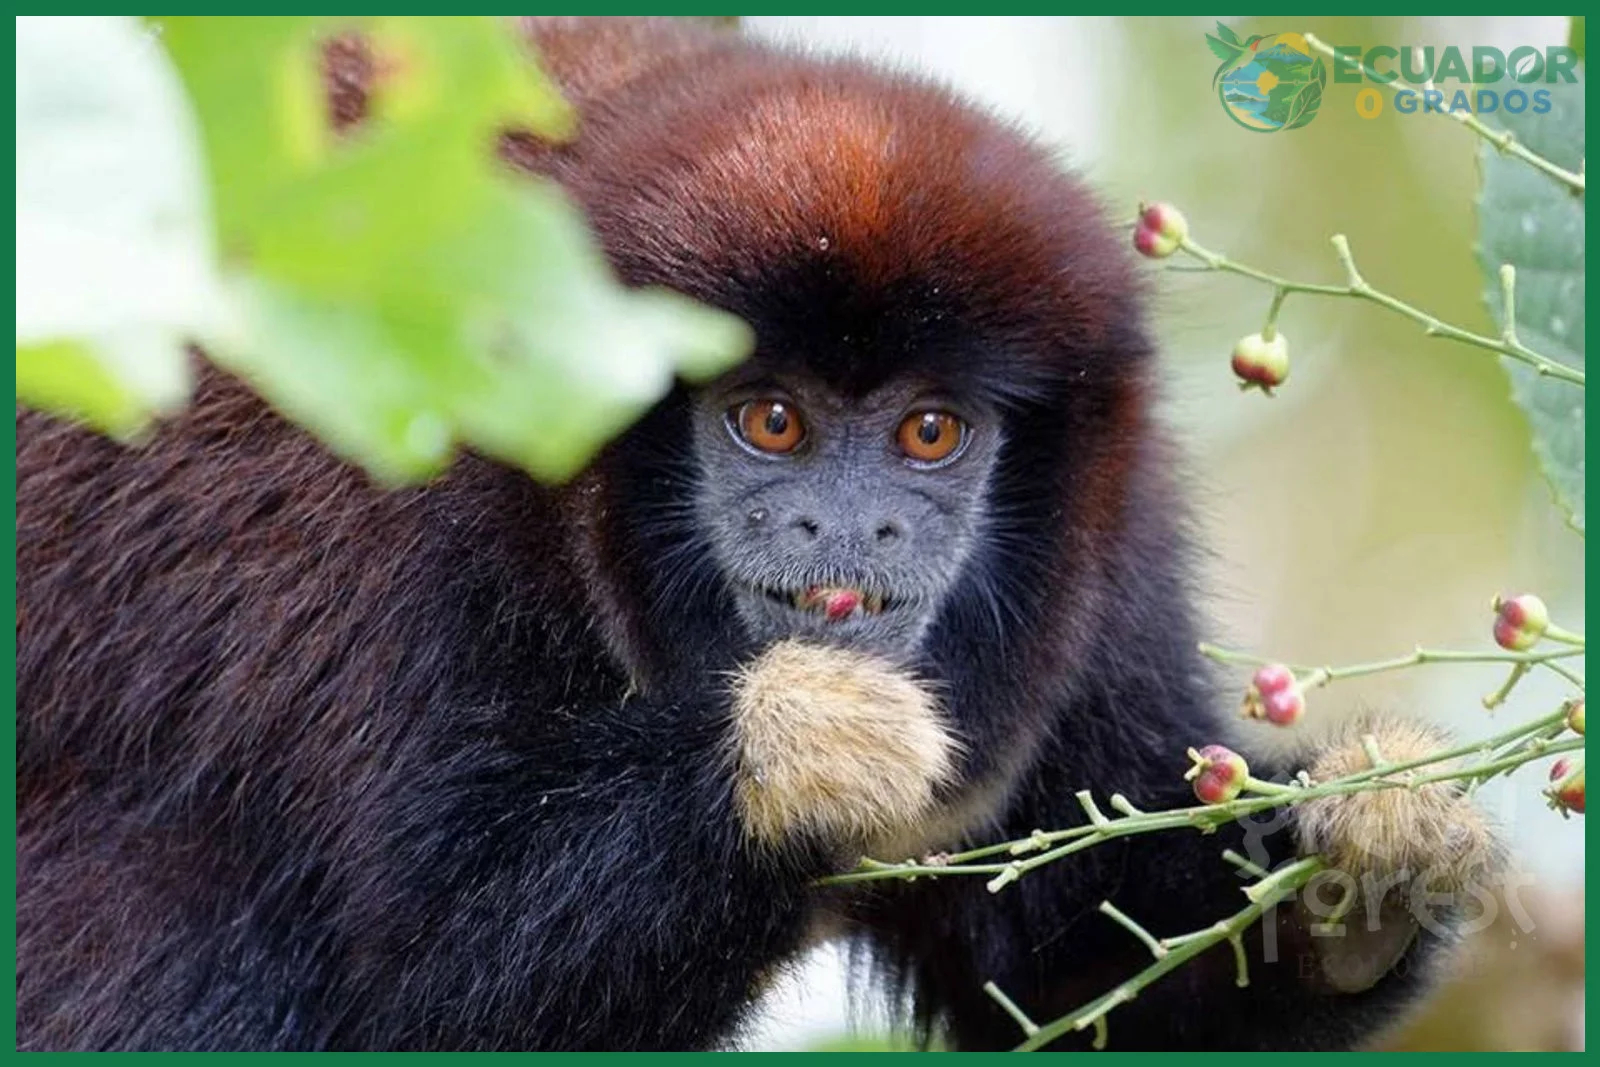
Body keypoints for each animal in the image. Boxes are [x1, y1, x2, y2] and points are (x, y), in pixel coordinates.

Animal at [16, 17, 1496, 1051]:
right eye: (772, 421)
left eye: (929, 433)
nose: (848, 520)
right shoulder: (400, 533)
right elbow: (421, 977)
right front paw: (792, 752)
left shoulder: (1110, 535)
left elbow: (1077, 960)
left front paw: (1371, 849)